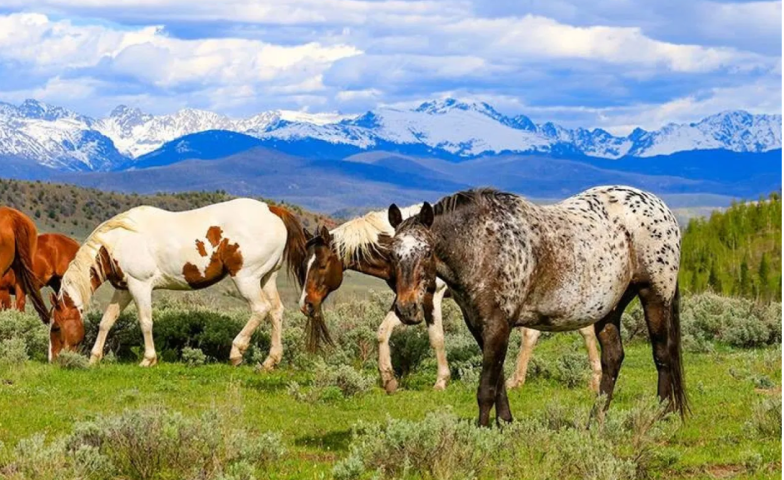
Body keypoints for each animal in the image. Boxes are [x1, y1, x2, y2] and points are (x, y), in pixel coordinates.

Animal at [47, 197, 308, 366]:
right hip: (267, 278)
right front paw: (94, 358)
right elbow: (106, 321)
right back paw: (270, 361)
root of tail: (273, 210)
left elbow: (146, 322)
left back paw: (236, 352)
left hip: (247, 278)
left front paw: (148, 359)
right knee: (276, 311)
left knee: (260, 309)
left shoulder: (140, 286)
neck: (118, 242)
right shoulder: (124, 289)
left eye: (56, 326)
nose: (53, 360)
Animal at [298, 206, 600, 394]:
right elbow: (382, 331)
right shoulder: (405, 299)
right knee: (535, 334)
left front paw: (441, 381)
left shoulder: (431, 296)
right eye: (304, 264)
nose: (306, 305)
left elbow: (437, 338)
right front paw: (388, 380)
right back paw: (518, 380)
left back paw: (594, 379)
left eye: (321, 265)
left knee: (579, 329)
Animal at [390, 186, 688, 426]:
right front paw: (506, 422)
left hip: (654, 296)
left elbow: (486, 387)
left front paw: (482, 430)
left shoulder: (498, 325)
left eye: (427, 252)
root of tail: (662, 209)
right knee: (613, 358)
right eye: (392, 253)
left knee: (662, 354)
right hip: (610, 309)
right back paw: (596, 419)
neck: (483, 245)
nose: (406, 309)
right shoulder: (480, 326)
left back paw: (661, 414)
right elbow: (498, 380)